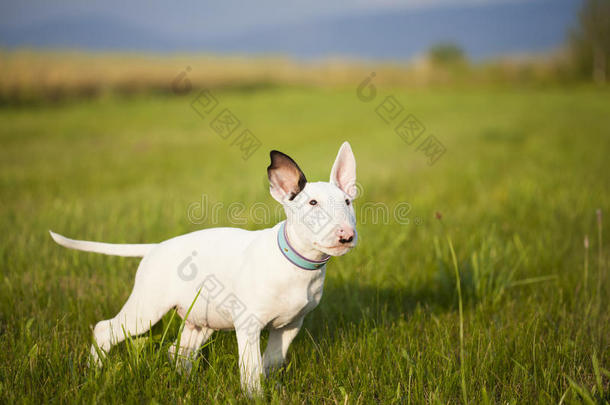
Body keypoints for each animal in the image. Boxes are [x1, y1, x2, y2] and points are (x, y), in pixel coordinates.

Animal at [51, 141, 356, 392]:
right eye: (312, 203)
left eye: (348, 202)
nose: (347, 235)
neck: (295, 263)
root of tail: (156, 247)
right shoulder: (248, 325)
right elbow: (251, 369)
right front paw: (255, 396)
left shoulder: (290, 326)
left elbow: (270, 362)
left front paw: (274, 390)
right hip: (146, 309)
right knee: (105, 329)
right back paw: (93, 372)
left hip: (201, 319)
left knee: (178, 351)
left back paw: (188, 384)